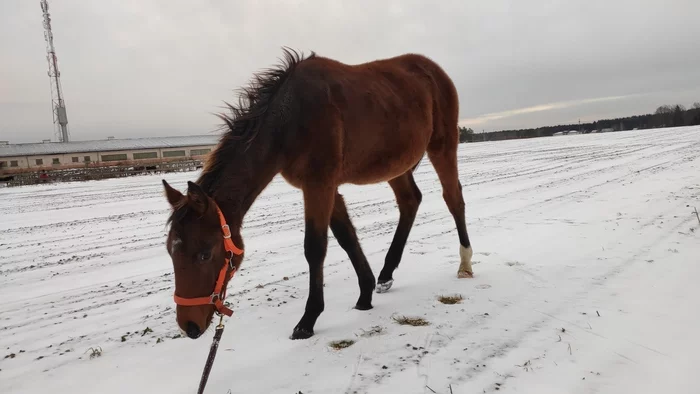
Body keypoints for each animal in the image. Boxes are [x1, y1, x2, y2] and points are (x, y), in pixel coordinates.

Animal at [161, 47, 474, 340]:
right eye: (170, 251)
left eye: (205, 254)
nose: (189, 326)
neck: (291, 119)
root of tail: (432, 69)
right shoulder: (325, 188)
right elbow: (347, 237)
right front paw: (365, 294)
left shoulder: (320, 185)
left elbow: (315, 247)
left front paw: (308, 320)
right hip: (396, 165)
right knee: (410, 201)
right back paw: (386, 275)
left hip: (443, 146)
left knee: (453, 198)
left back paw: (465, 263)